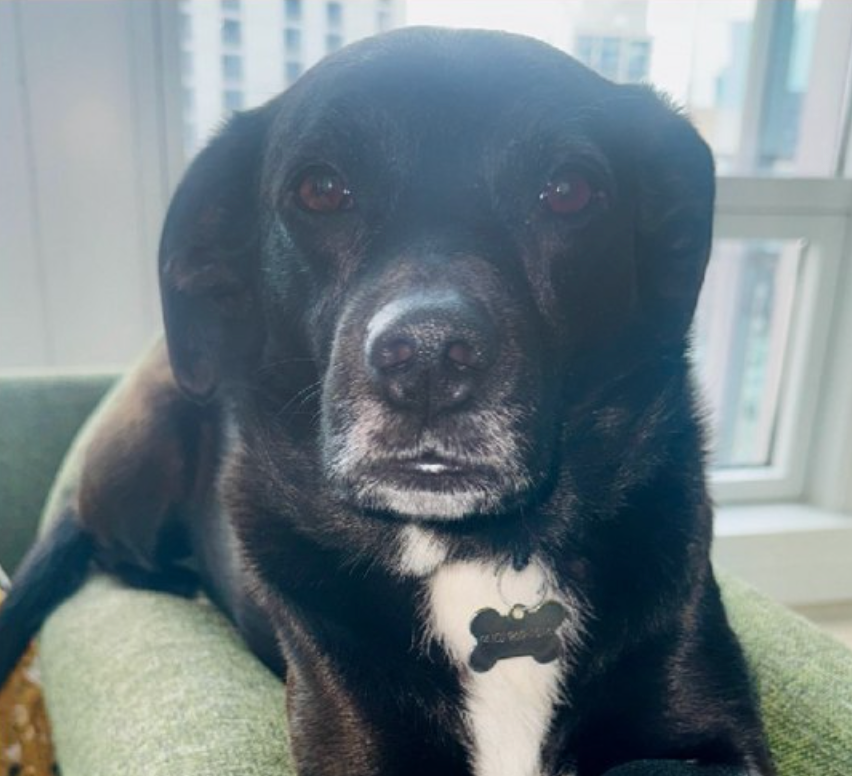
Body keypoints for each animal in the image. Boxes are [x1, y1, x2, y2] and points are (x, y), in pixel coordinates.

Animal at [0, 27, 772, 772]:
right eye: (321, 189)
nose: (428, 359)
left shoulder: (701, 735)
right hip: (146, 454)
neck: (469, 551)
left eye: (569, 191)